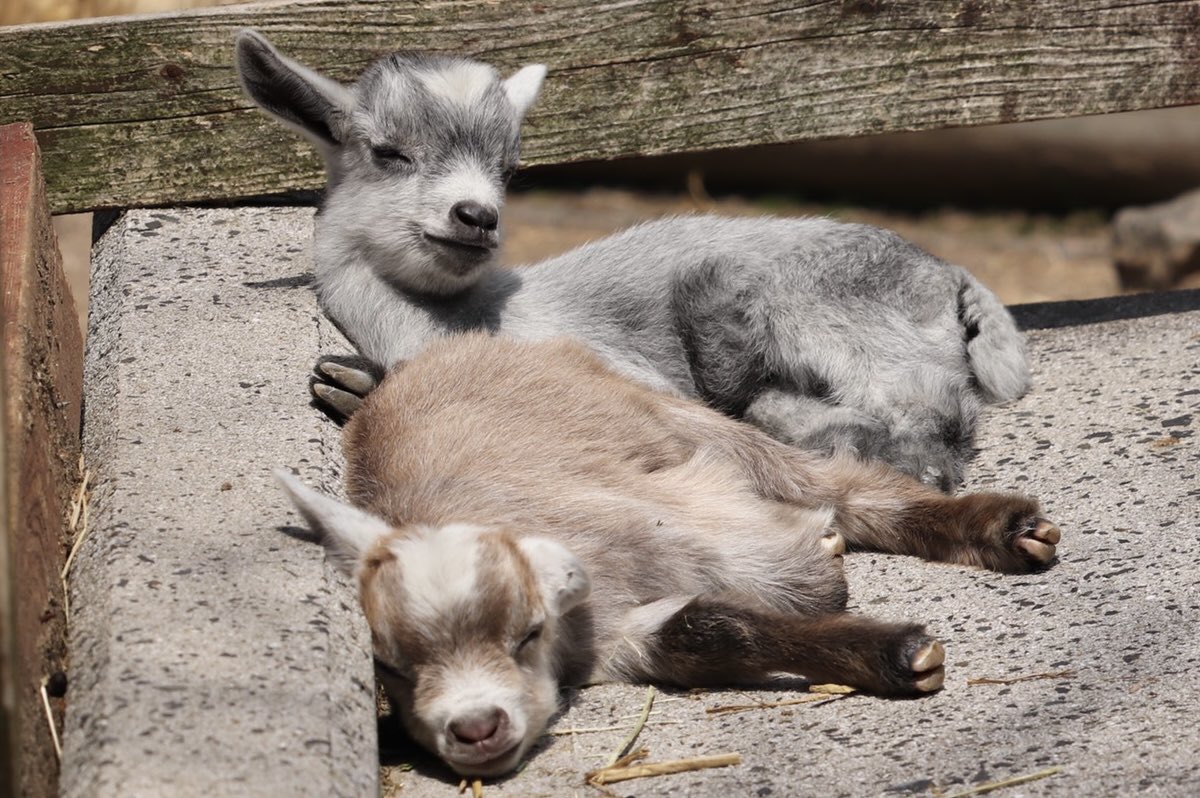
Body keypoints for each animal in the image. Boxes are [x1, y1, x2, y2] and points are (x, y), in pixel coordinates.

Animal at [236, 31, 1032, 489]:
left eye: (509, 168)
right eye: (388, 152)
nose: (477, 216)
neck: (467, 319)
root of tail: (946, 271)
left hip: (840, 320)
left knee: (932, 421)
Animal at [278, 333, 1060, 772]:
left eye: (525, 633)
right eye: (389, 668)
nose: (475, 728)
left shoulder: (669, 520)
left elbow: (808, 581)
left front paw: (890, 637)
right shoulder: (626, 636)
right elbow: (710, 628)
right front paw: (889, 654)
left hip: (670, 418)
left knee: (831, 480)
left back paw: (1002, 529)